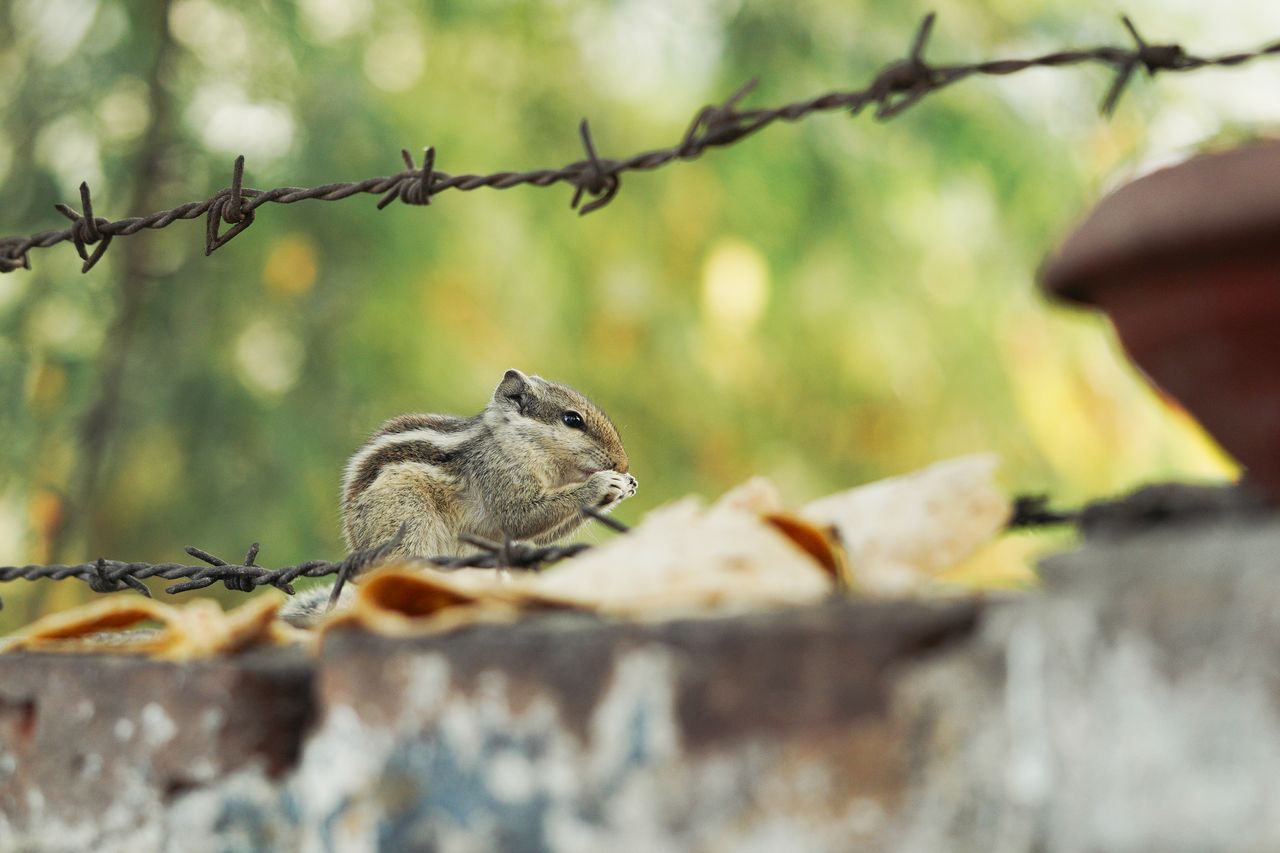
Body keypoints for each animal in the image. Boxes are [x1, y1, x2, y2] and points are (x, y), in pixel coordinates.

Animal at [280, 369, 637, 626]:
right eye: (572, 419)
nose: (622, 463)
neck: (518, 442)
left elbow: (540, 533)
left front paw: (625, 485)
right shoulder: (498, 474)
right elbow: (520, 517)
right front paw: (602, 483)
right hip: (405, 518)